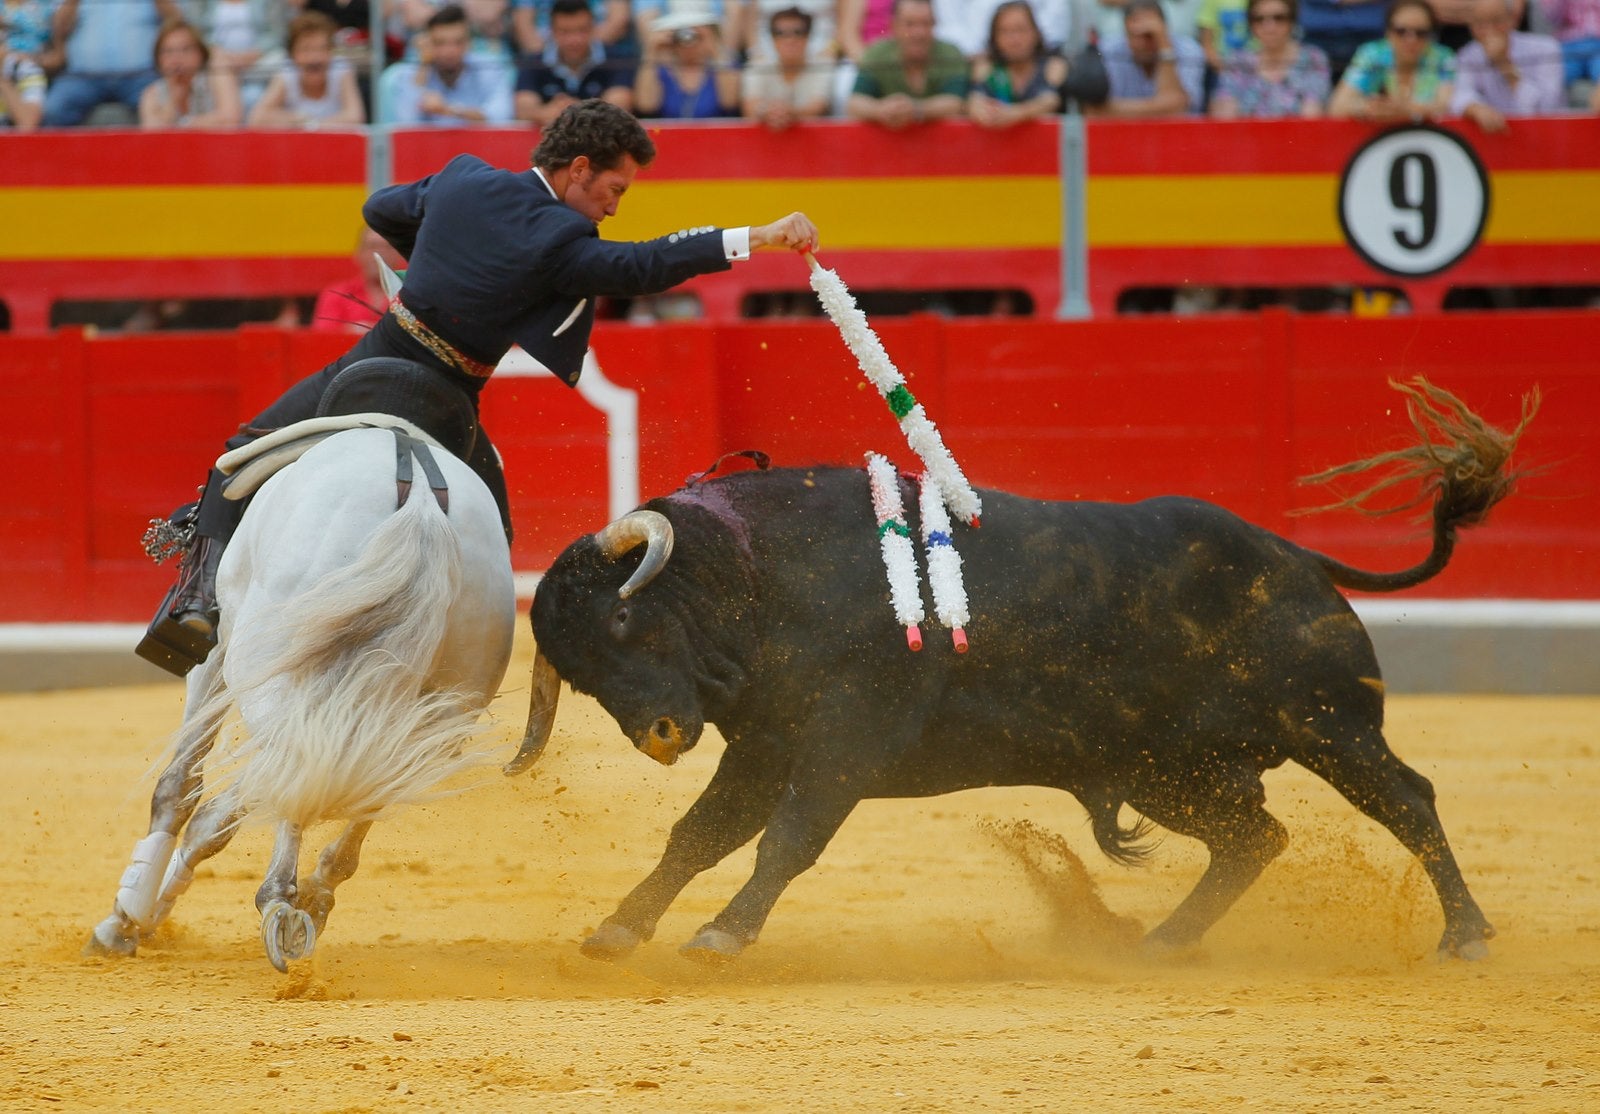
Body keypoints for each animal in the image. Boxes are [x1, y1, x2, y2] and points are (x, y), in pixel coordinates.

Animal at [84, 422, 515, 973]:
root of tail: (419, 497)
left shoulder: (218, 652)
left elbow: (179, 786)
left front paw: (124, 920)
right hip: (447, 702)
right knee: (346, 778)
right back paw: (312, 897)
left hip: (271, 652)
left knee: (295, 761)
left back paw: (278, 903)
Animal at [518, 380, 1529, 966]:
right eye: (578, 672)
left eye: (622, 615)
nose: (659, 737)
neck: (763, 574)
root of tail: (1296, 558)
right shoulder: (765, 745)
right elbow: (697, 835)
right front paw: (619, 929)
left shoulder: (845, 739)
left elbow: (787, 840)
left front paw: (723, 934)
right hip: (1174, 769)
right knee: (1256, 838)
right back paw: (1163, 942)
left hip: (1329, 726)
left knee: (1407, 801)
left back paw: (1466, 936)